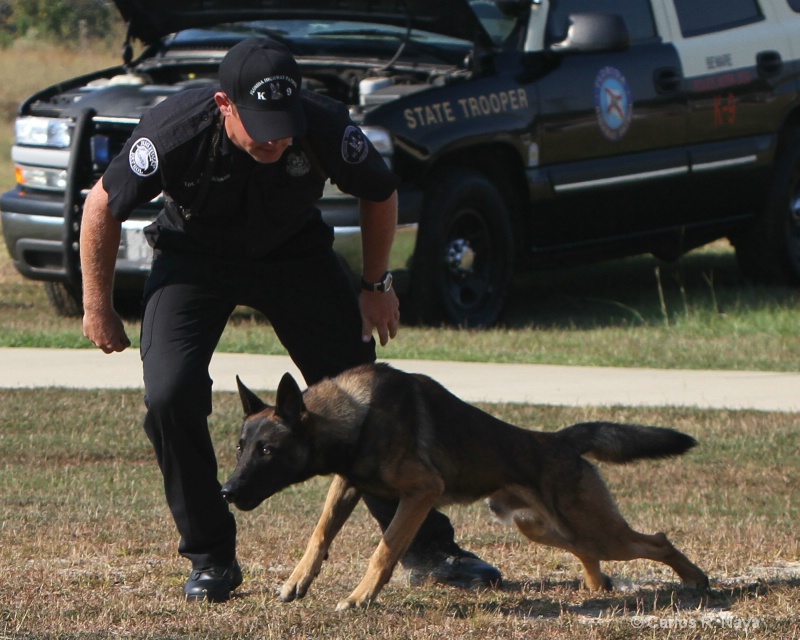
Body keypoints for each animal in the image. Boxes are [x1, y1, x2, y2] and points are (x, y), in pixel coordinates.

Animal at [219, 364, 708, 608]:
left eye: (267, 451)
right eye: (241, 446)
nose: (225, 491)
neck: (354, 416)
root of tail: (558, 440)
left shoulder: (421, 492)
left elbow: (386, 550)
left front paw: (360, 597)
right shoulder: (347, 484)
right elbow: (319, 533)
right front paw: (298, 581)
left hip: (596, 528)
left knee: (658, 540)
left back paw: (695, 579)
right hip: (544, 528)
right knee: (590, 551)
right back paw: (597, 585)